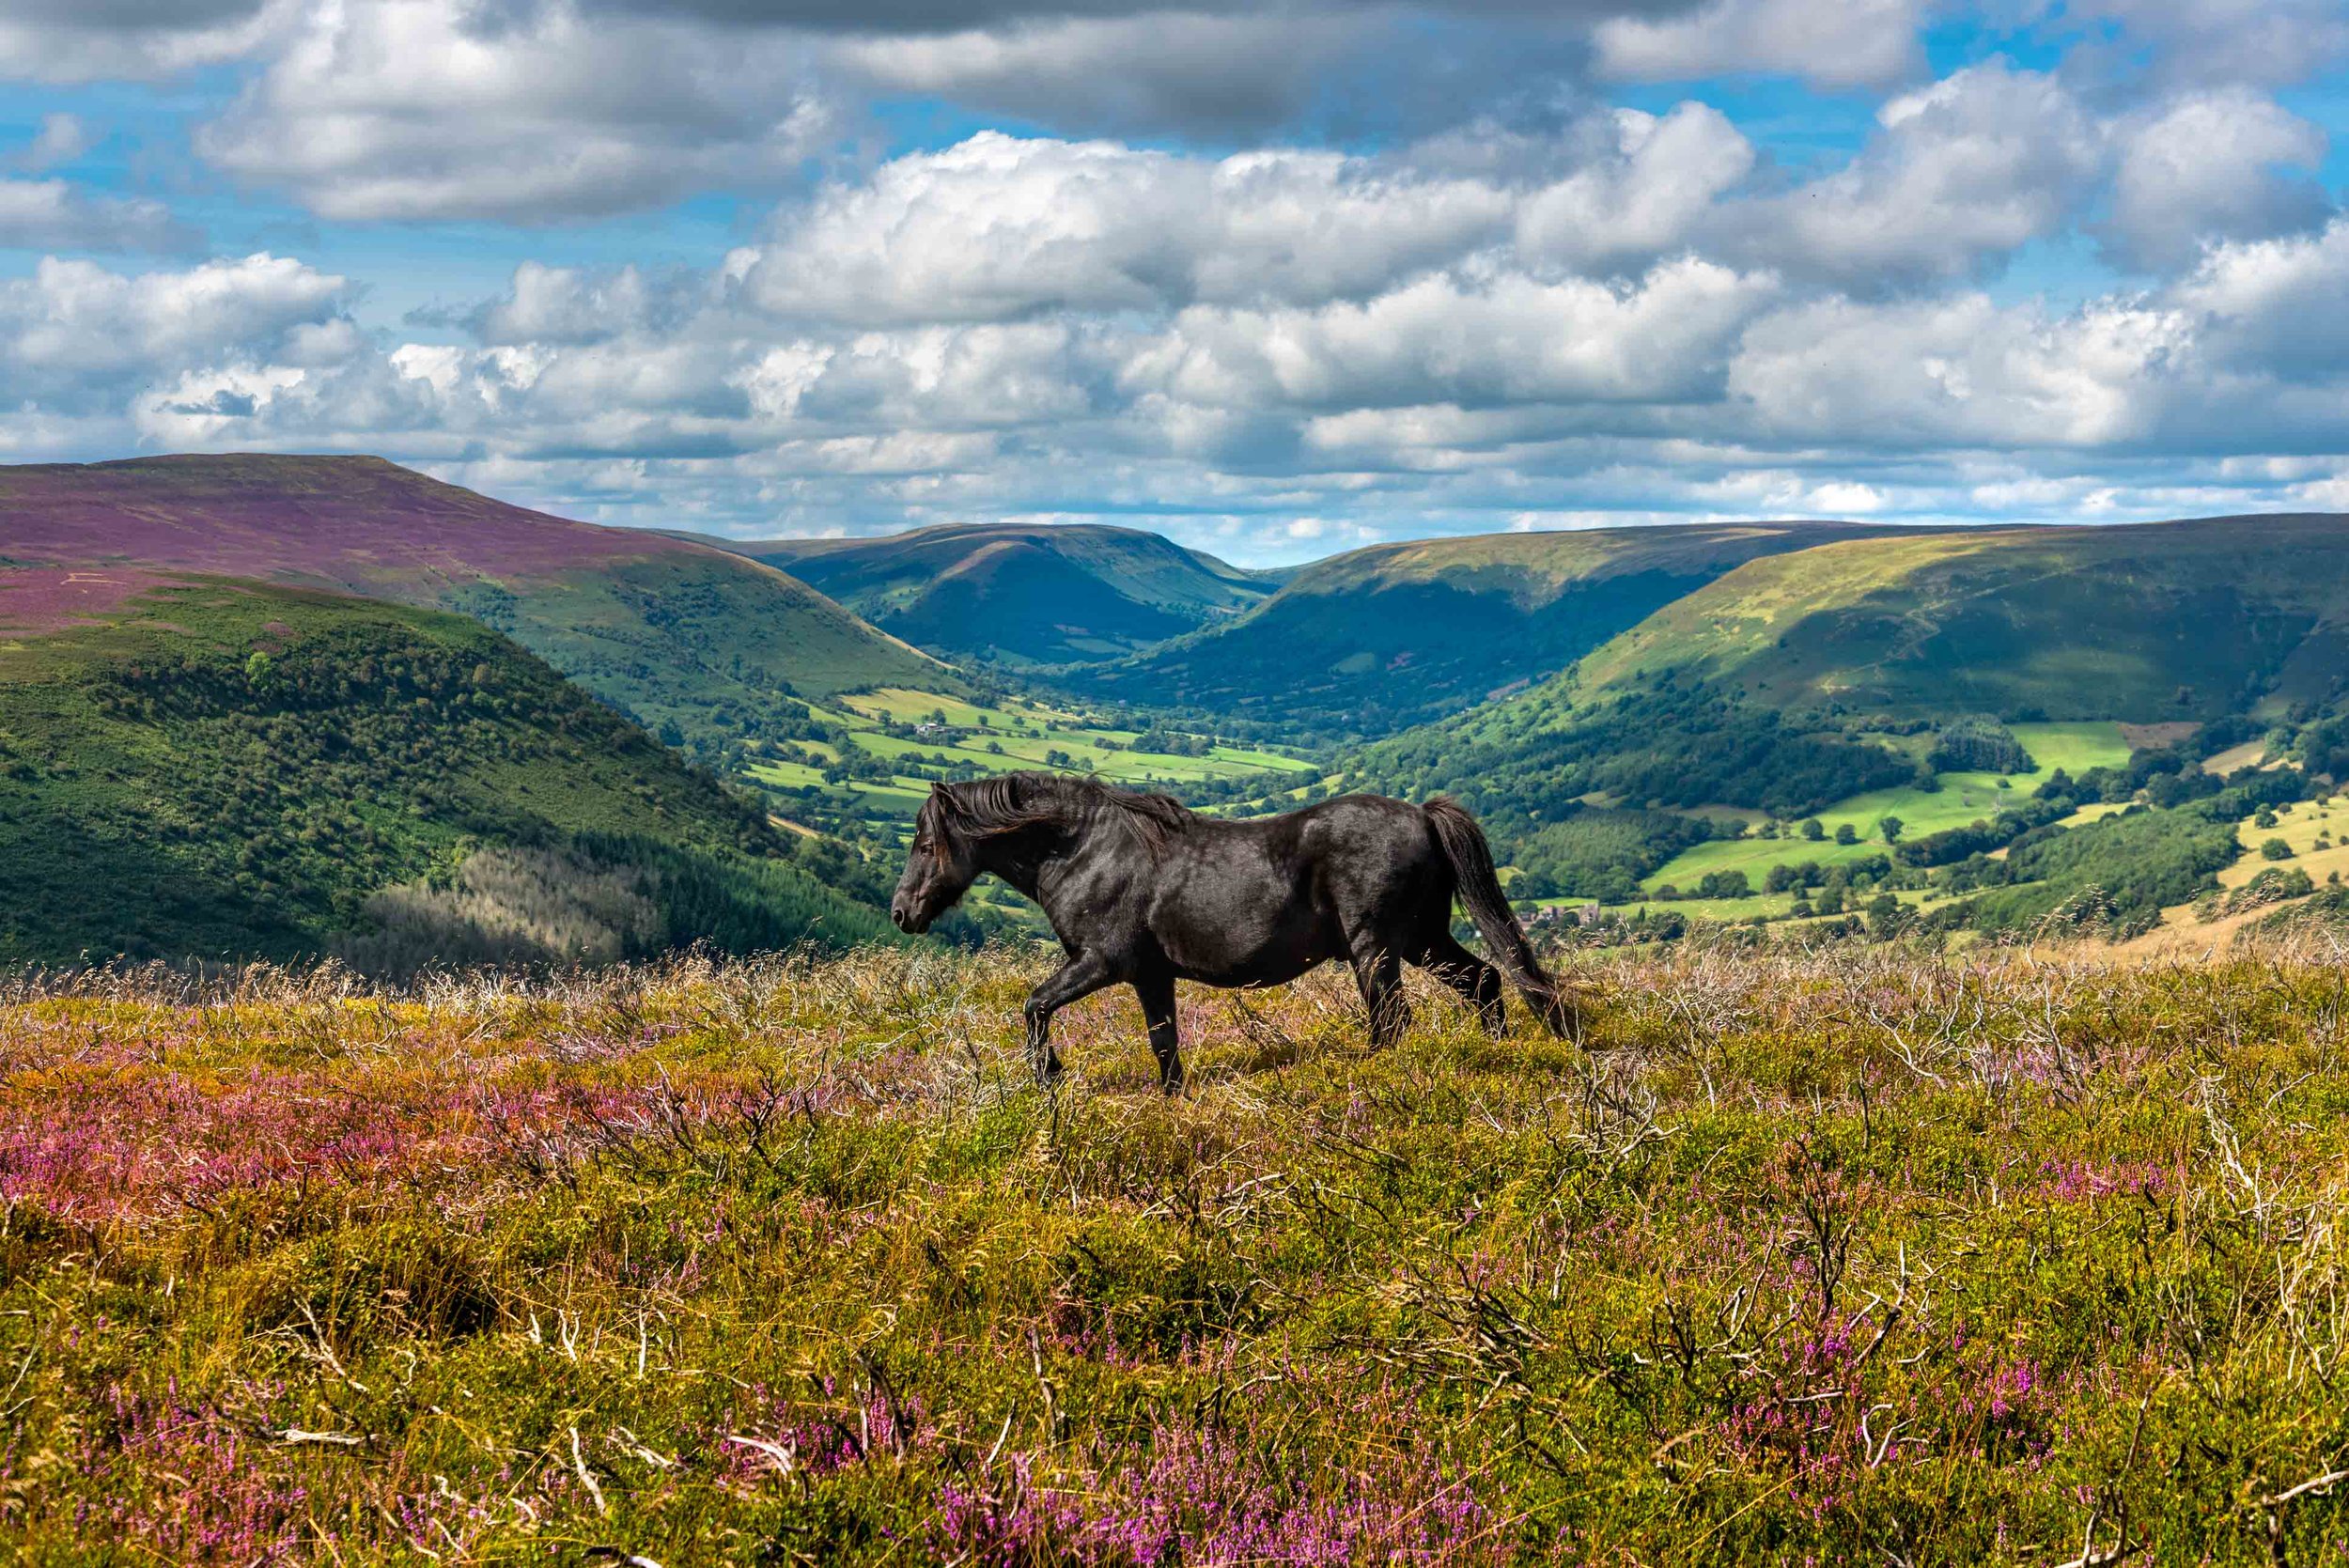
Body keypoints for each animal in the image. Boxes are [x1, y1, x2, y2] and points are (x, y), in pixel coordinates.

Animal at [893, 769, 1579, 1089]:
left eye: (926, 843)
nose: (902, 912)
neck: (1084, 850)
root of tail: (1422, 815)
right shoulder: (1149, 975)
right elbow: (1164, 1046)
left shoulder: (1102, 962)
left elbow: (1035, 1006)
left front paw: (1049, 1078)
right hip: (1421, 940)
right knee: (1485, 980)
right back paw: (1496, 1053)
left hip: (1378, 948)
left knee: (1393, 1020)